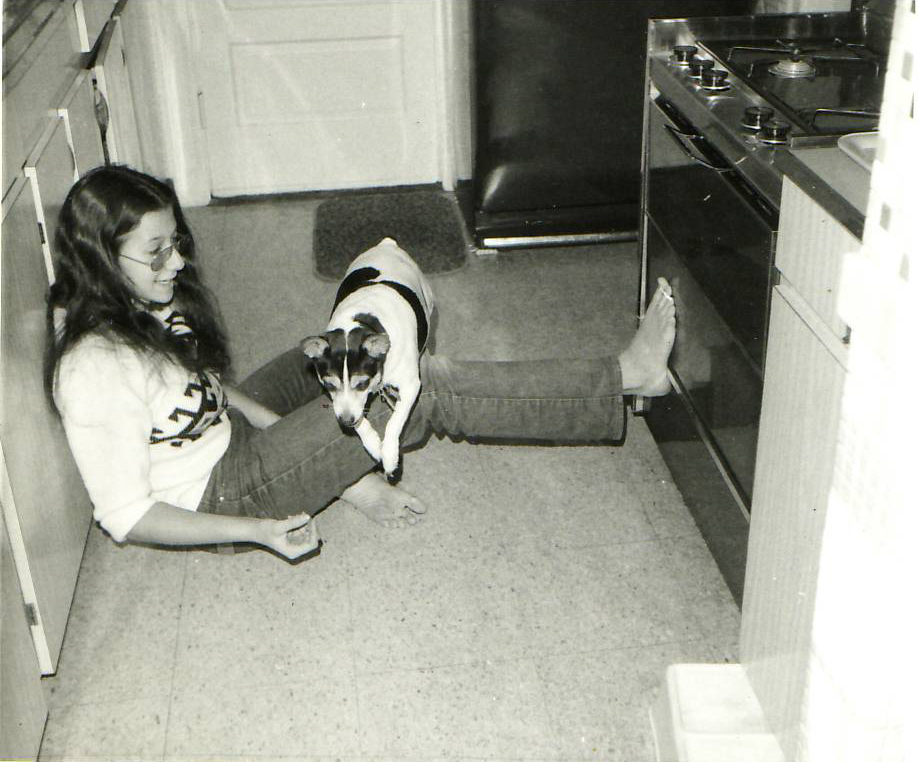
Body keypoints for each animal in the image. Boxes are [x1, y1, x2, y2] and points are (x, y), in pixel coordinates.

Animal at [298, 238, 434, 478]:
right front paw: (372, 443)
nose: (345, 422)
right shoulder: (347, 405)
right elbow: (358, 415)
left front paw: (389, 454)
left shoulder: (410, 385)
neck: (362, 322)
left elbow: (395, 420)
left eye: (362, 383)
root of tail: (387, 245)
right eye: (329, 385)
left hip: (429, 298)